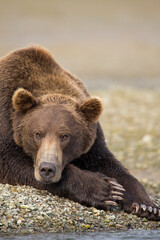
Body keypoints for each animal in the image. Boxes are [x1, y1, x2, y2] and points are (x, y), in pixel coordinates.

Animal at [0, 46, 159, 220]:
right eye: (37, 134)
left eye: (65, 136)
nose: (47, 169)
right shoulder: (5, 124)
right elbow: (13, 163)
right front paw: (104, 189)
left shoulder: (92, 140)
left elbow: (108, 163)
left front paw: (145, 205)